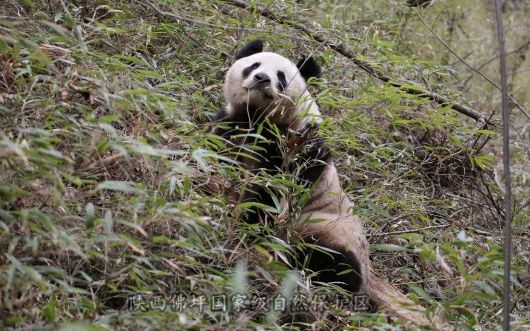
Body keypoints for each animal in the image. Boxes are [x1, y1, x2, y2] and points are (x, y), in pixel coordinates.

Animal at [209, 39, 368, 298]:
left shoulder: (297, 150)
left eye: (281, 77)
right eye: (254, 65)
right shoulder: (230, 126)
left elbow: (272, 194)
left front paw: (249, 227)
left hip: (329, 229)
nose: (261, 78)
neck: (258, 118)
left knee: (338, 265)